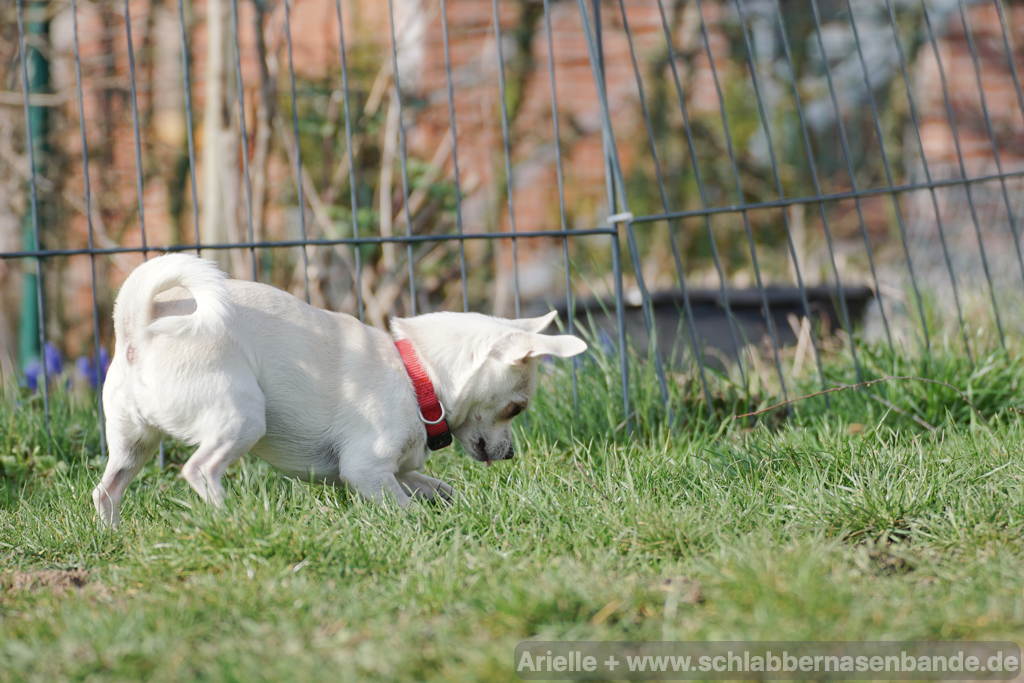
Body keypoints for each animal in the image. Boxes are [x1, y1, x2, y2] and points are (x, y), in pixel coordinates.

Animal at [92, 253, 589, 528]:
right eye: (516, 408)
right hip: (243, 418)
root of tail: (139, 329)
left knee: (107, 489)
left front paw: (453, 505)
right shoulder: (366, 470)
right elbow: (401, 504)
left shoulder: (398, 469)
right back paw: (230, 517)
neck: (417, 375)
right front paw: (416, 525)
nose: (510, 455)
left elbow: (437, 486)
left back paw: (113, 535)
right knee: (200, 469)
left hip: (133, 442)